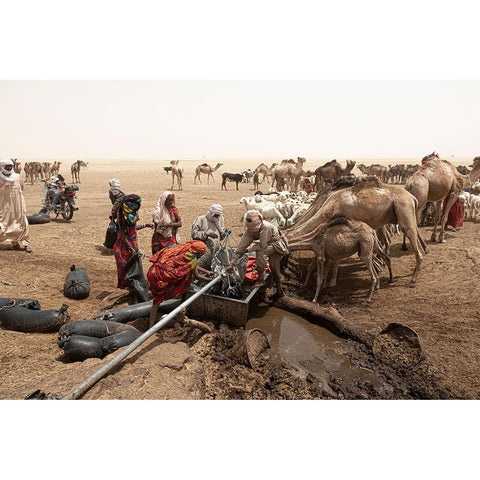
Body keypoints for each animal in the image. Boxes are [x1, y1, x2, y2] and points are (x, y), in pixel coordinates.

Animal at [284, 178, 424, 286]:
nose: (286, 262)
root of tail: (412, 197)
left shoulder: (341, 226)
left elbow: (336, 258)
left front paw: (331, 283)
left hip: (404, 207)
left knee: (414, 242)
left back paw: (412, 279)